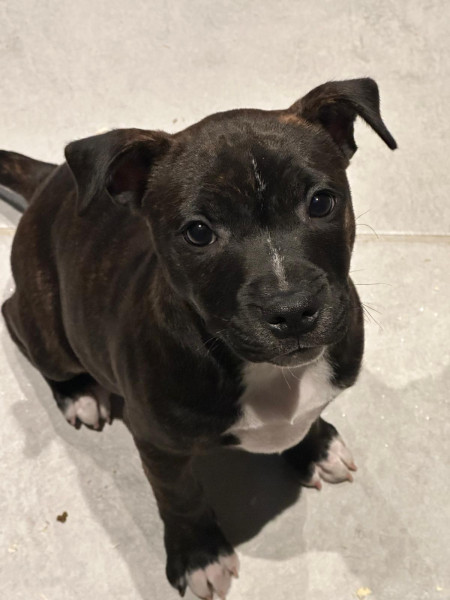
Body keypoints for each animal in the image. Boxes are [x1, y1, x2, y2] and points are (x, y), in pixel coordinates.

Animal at [1, 78, 396, 599]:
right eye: (199, 233)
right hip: (49, 327)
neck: (265, 371)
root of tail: (52, 179)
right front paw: (199, 556)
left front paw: (314, 447)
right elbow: (180, 496)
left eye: (320, 203)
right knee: (18, 322)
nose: (292, 310)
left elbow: (306, 418)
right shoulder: (158, 443)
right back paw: (79, 393)